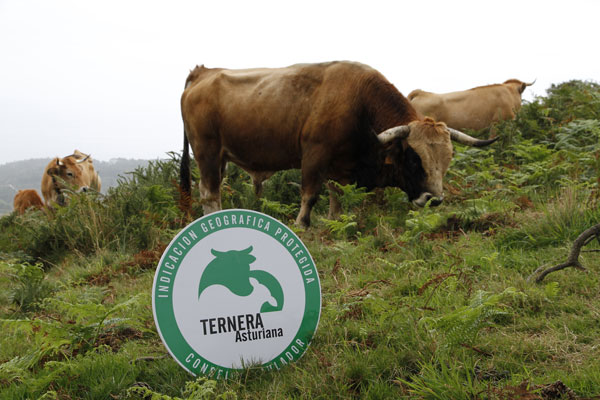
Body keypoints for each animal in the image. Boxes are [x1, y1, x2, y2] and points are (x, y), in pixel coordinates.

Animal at [179, 61, 496, 227]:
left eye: (447, 160)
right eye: (413, 158)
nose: (434, 199)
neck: (359, 102)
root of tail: (204, 72)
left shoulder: (338, 168)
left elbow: (336, 199)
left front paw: (334, 222)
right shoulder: (314, 156)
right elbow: (310, 196)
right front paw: (303, 226)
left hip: (220, 157)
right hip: (207, 152)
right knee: (209, 193)